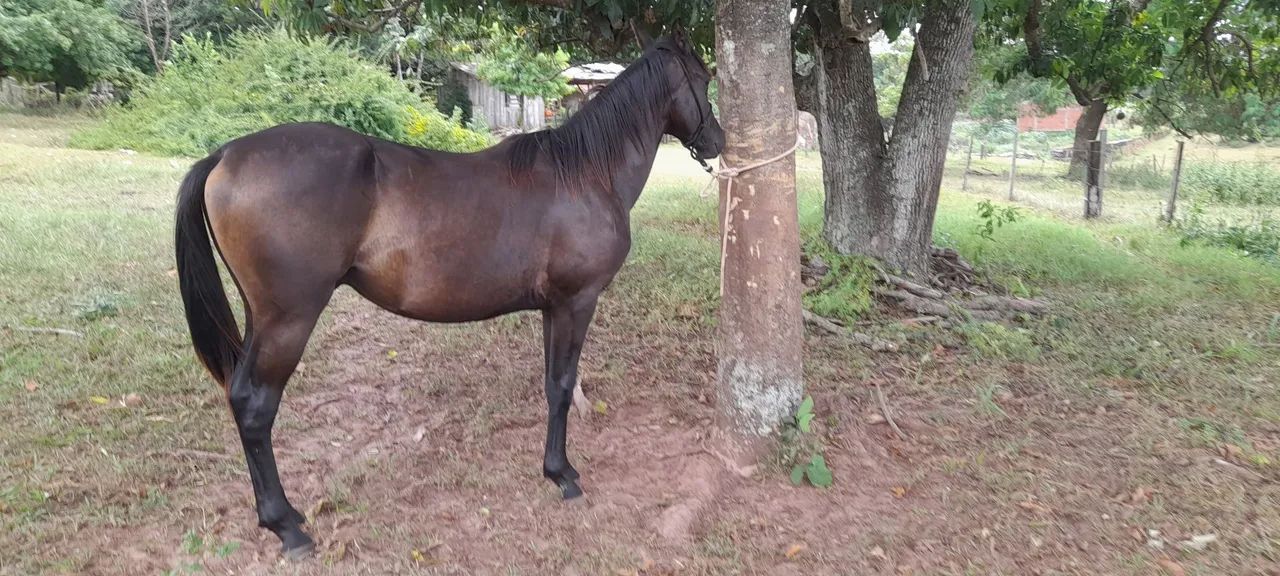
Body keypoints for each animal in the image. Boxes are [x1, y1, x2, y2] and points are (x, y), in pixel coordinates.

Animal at [174, 31, 723, 558]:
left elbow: (551, 386)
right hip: (289, 320)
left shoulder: (552, 308)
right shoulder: (576, 302)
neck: (585, 174)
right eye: (702, 78)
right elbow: (565, 386)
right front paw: (563, 475)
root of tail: (224, 155)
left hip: (259, 317)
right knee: (255, 405)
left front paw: (552, 469)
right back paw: (286, 527)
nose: (717, 140)